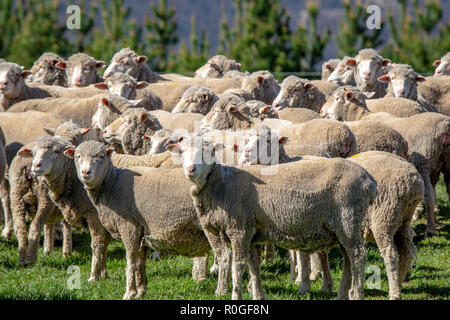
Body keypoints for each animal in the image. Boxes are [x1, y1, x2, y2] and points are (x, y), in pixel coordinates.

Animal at [9, 120, 89, 264]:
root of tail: (28, 164)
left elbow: (49, 224)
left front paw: (47, 250)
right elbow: (66, 224)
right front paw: (66, 252)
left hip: (16, 194)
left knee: (20, 228)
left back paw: (22, 258)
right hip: (44, 197)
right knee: (35, 226)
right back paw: (30, 259)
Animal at [66, 141, 213, 298]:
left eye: (100, 156)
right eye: (78, 156)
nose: (85, 172)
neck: (111, 185)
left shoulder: (129, 227)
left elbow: (130, 261)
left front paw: (129, 293)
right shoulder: (141, 230)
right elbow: (139, 263)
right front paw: (141, 292)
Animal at [171, 136, 378, 300]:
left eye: (211, 151)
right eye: (181, 151)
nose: (191, 169)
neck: (221, 186)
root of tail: (369, 181)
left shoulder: (239, 229)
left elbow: (238, 266)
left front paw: (235, 295)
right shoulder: (252, 232)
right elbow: (253, 266)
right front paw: (258, 295)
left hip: (348, 219)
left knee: (358, 255)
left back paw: (356, 294)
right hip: (343, 226)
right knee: (348, 258)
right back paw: (342, 294)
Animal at [322, 86, 450, 236]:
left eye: (337, 98)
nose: (321, 112)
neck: (360, 116)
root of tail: (445, 128)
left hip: (423, 162)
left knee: (428, 195)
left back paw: (430, 230)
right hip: (445, 164)